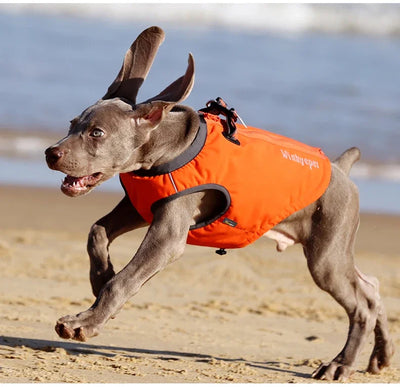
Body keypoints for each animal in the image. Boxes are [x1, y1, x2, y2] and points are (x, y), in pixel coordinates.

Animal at [44, 26, 394, 382]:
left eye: (97, 133)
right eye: (72, 123)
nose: (50, 153)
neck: (165, 148)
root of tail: (341, 167)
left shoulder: (168, 235)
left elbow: (124, 281)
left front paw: (83, 323)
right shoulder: (139, 206)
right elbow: (97, 232)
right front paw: (100, 277)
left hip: (327, 254)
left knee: (362, 305)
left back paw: (340, 364)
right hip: (335, 251)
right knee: (372, 288)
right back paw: (381, 356)